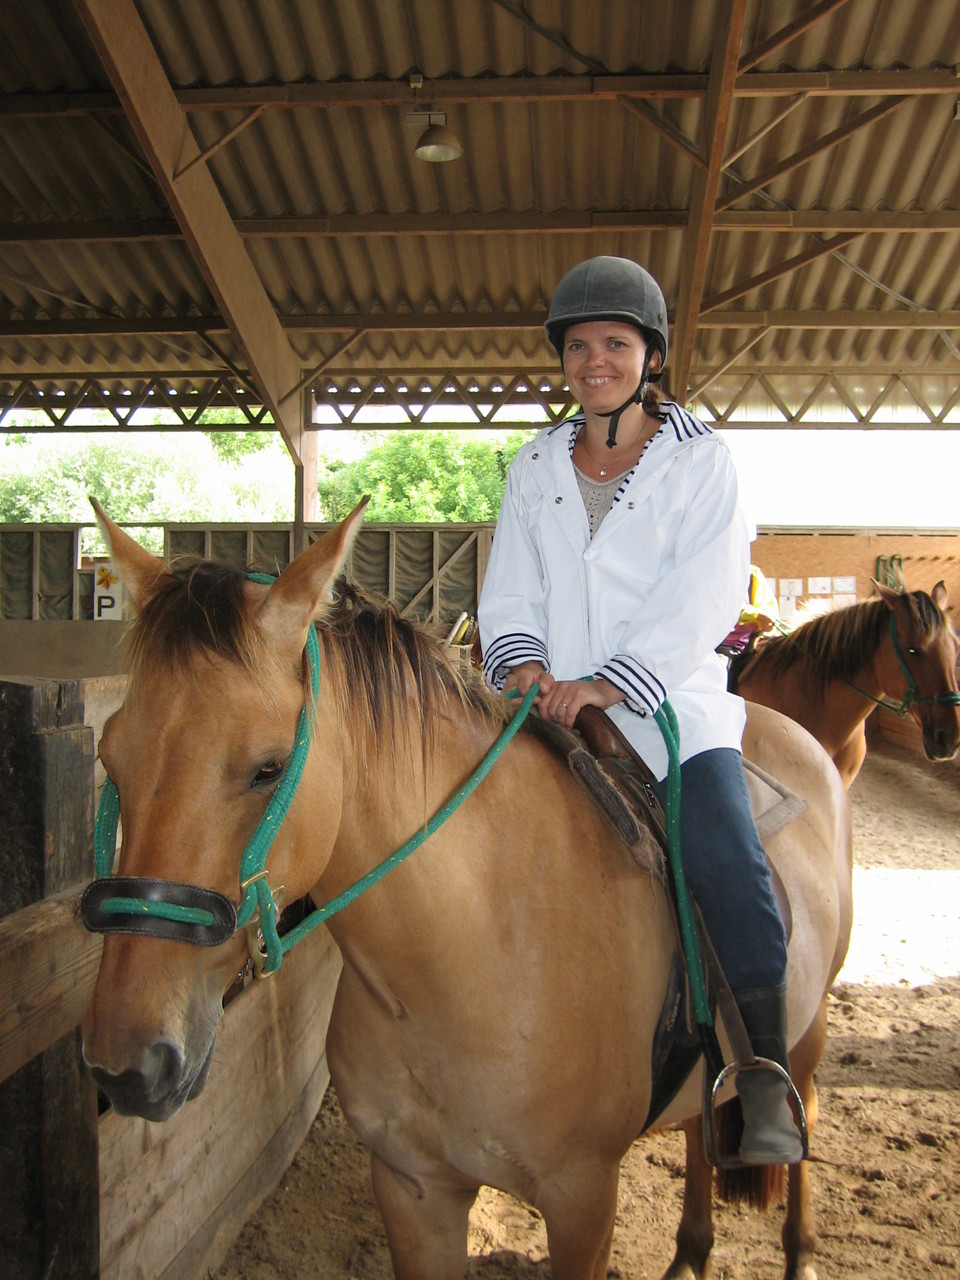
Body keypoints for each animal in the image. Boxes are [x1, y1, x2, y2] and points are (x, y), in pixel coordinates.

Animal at [80, 504, 849, 1280]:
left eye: (268, 768)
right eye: (110, 754)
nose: (129, 1062)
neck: (475, 954)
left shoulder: (583, 1200)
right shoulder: (412, 1186)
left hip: (806, 1035)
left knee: (802, 1107)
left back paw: (799, 1245)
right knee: (699, 1130)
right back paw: (690, 1250)